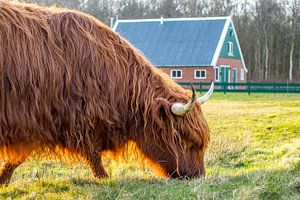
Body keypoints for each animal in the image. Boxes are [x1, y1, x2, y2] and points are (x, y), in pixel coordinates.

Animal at [0, 0, 213, 184]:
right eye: (186, 141)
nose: (198, 176)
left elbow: (18, 157)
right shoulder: (50, 116)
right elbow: (93, 154)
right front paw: (104, 178)